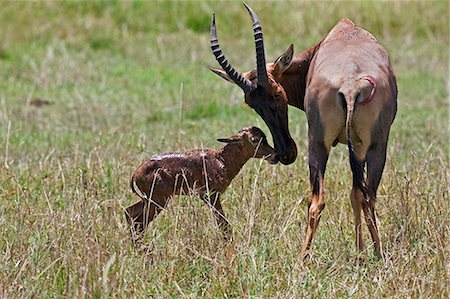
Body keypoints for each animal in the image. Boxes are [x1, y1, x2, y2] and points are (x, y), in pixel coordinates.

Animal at [125, 126, 276, 239]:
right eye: (254, 140)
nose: (275, 155)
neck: (221, 160)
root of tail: (136, 173)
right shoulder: (211, 196)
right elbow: (224, 225)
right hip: (158, 201)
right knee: (138, 223)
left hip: (149, 200)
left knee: (130, 213)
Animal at [207, 2, 398, 260]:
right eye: (251, 103)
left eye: (277, 93)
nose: (285, 153)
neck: (345, 31)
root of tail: (351, 86)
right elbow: (358, 194)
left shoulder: (357, 147)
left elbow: (355, 194)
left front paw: (358, 254)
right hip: (356, 146)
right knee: (352, 199)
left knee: (348, 197)